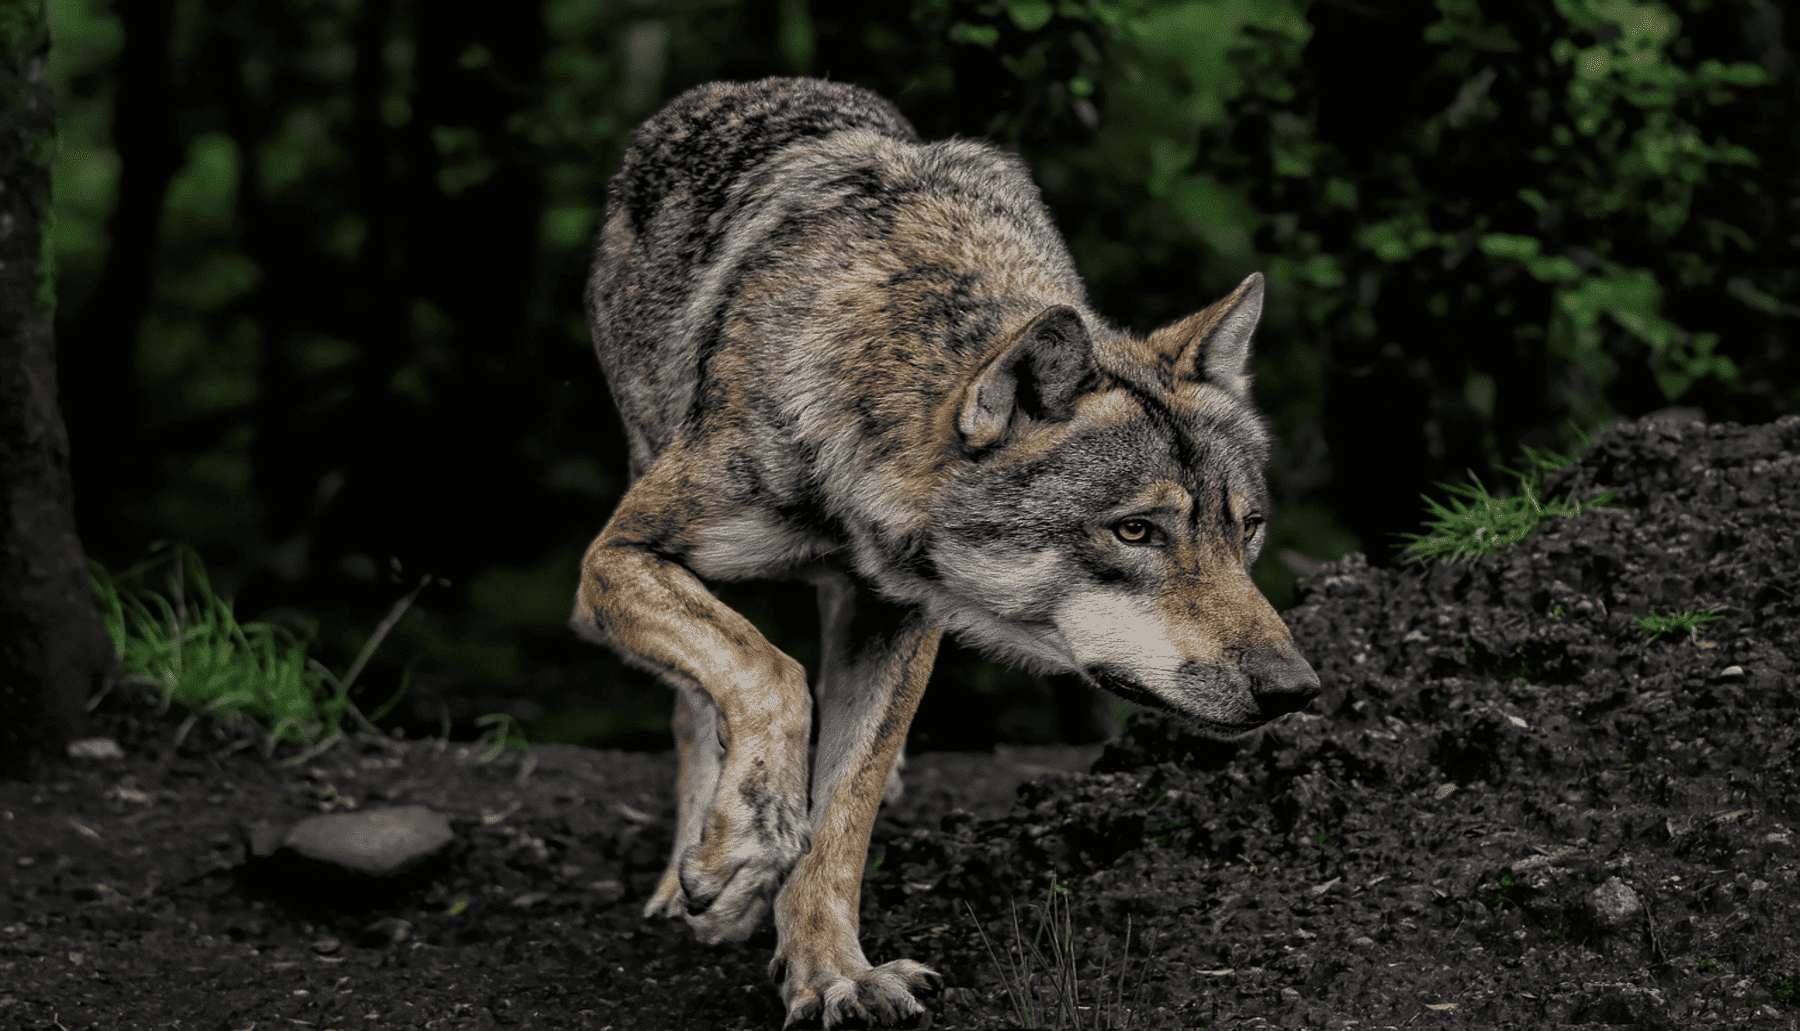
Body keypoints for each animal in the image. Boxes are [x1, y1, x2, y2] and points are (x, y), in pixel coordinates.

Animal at [571, 77, 1320, 1029]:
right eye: (1135, 531)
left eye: (1245, 527)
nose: (1295, 689)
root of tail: (726, 90)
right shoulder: (615, 559)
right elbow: (767, 671)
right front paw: (741, 851)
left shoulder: (899, 617)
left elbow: (844, 806)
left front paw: (832, 972)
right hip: (644, 472)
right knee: (698, 701)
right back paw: (695, 871)